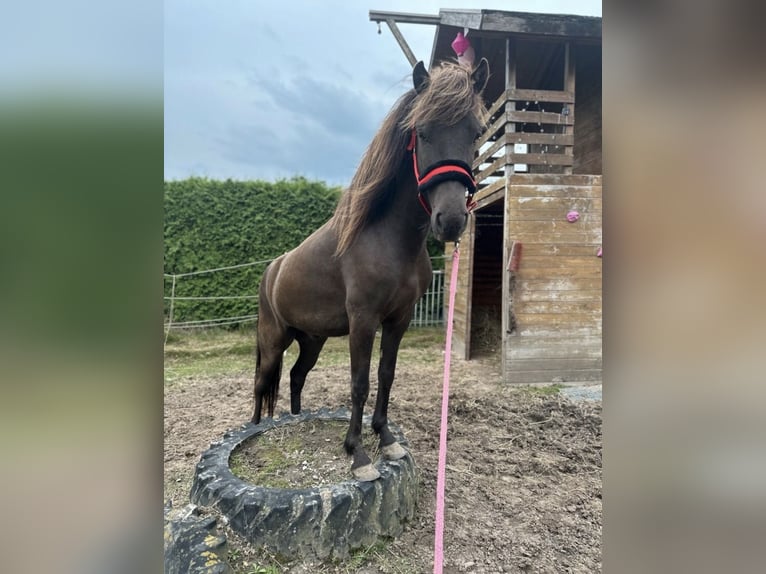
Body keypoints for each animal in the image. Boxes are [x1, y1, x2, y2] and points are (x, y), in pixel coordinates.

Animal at [252, 59, 490, 481]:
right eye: (422, 132)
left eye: (476, 132)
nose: (450, 221)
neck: (384, 237)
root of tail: (272, 270)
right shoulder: (363, 320)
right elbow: (359, 382)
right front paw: (358, 453)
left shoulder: (399, 318)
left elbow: (386, 373)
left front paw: (386, 437)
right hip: (273, 338)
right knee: (262, 384)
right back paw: (254, 429)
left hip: (312, 340)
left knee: (296, 376)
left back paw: (297, 420)